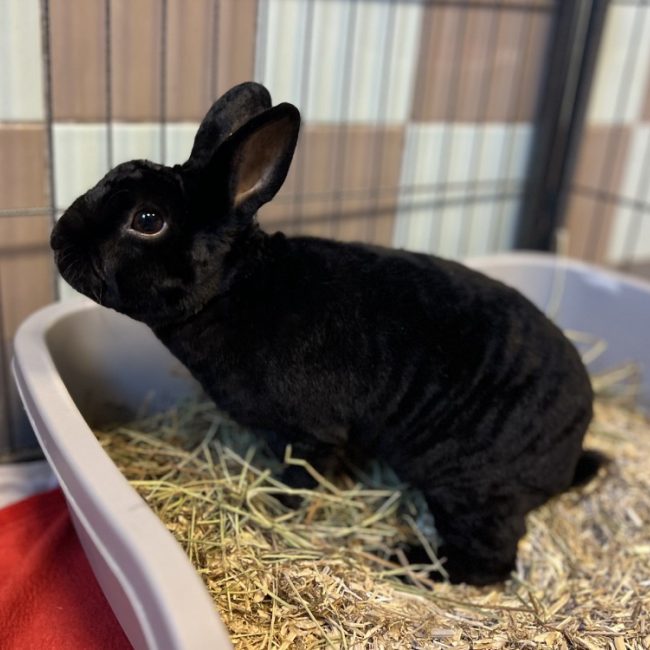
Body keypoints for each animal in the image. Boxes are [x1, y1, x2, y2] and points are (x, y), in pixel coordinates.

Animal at [50, 81, 597, 586]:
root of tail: (573, 443)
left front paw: (278, 506)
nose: (57, 239)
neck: (234, 289)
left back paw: (407, 561)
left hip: (470, 489)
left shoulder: (312, 434)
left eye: (147, 220)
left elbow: (300, 478)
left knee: (490, 562)